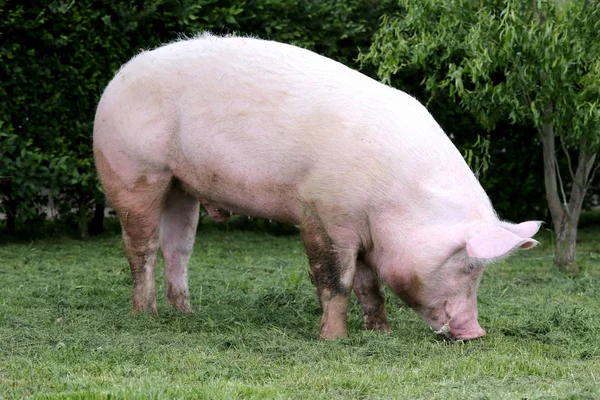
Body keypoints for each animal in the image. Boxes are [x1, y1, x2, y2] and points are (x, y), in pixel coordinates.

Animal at [92, 33, 540, 340]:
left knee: (179, 248)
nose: (476, 332)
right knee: (141, 247)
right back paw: (146, 316)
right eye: (468, 265)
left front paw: (381, 333)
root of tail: (117, 78)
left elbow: (369, 284)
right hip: (133, 169)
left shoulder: (364, 229)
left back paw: (186, 314)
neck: (396, 201)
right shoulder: (324, 212)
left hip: (181, 184)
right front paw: (334, 340)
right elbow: (335, 279)